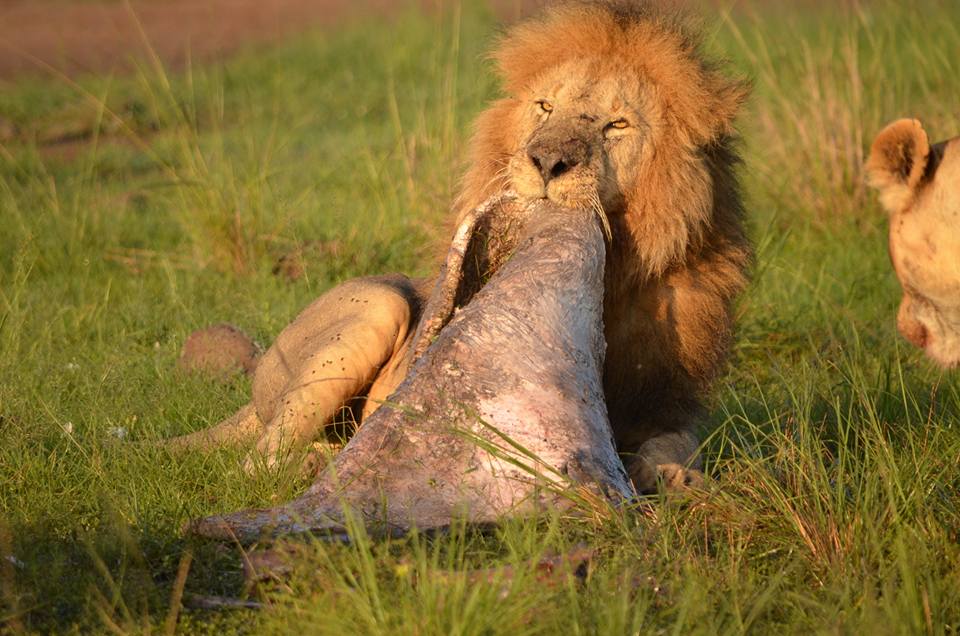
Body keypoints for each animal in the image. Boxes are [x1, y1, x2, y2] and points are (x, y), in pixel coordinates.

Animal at [174, 1, 756, 492]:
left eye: (618, 124)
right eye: (545, 107)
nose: (547, 162)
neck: (615, 276)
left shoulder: (670, 401)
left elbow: (678, 443)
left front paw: (673, 476)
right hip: (376, 309)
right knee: (259, 462)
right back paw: (319, 464)